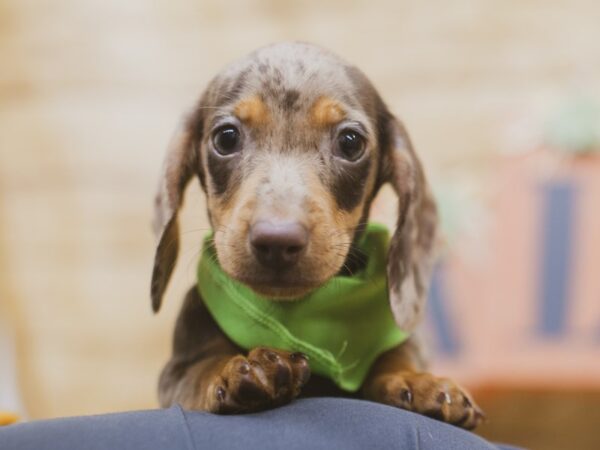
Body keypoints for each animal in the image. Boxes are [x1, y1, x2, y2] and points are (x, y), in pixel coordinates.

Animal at [152, 41, 486, 428]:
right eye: (226, 137)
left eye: (351, 142)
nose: (277, 242)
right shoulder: (174, 375)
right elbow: (200, 367)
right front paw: (236, 368)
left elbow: (397, 354)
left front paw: (417, 379)